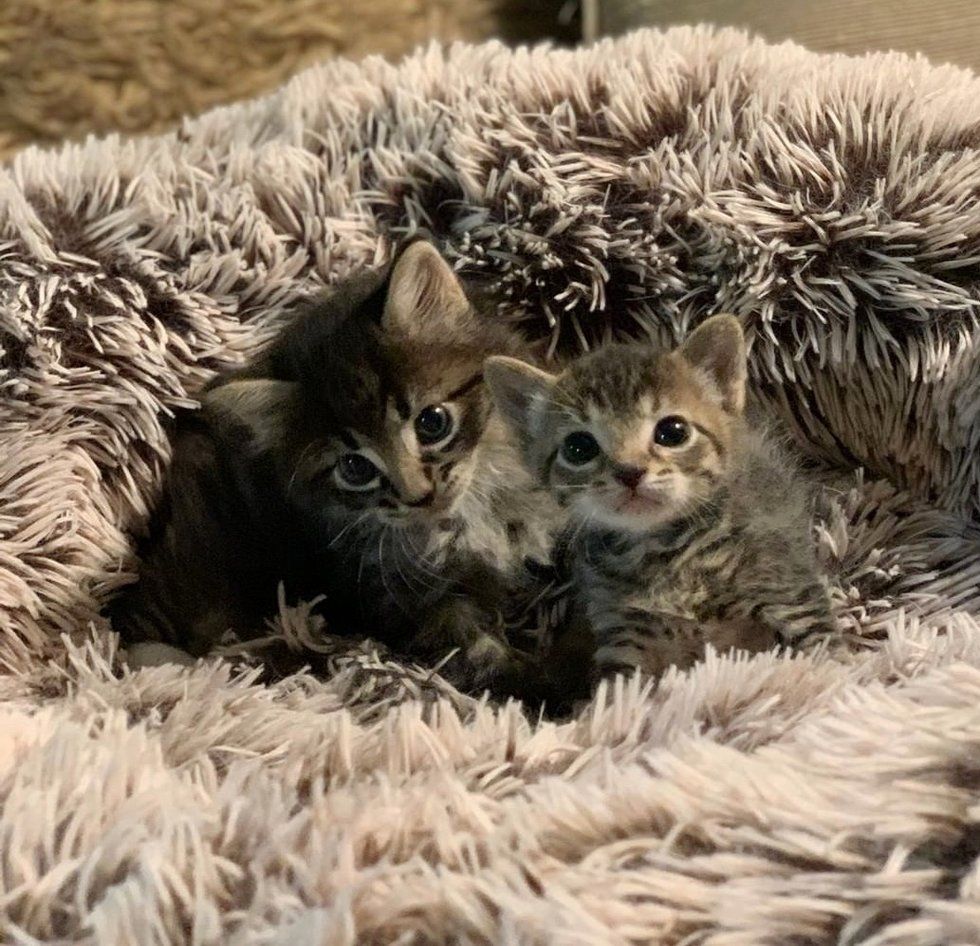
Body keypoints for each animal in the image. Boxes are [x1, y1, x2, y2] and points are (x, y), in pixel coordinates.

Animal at [111, 240, 565, 700]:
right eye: (355, 467)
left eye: (432, 422)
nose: (419, 496)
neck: (469, 512)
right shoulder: (403, 599)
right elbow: (478, 652)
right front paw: (549, 686)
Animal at [484, 314, 835, 681]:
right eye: (578, 448)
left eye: (673, 431)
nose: (629, 472)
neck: (665, 552)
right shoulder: (621, 626)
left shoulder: (791, 589)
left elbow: (826, 651)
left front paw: (837, 682)